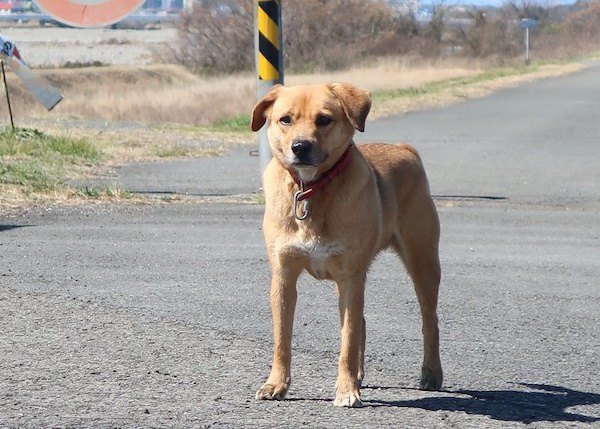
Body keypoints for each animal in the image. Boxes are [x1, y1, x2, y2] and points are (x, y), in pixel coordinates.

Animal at [251, 83, 442, 408]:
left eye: (324, 119)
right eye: (285, 119)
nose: (300, 147)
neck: (310, 190)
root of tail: (405, 149)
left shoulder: (350, 276)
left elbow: (348, 340)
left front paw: (346, 390)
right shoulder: (284, 276)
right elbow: (281, 339)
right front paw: (276, 384)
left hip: (423, 262)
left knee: (430, 321)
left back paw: (431, 373)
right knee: (363, 322)